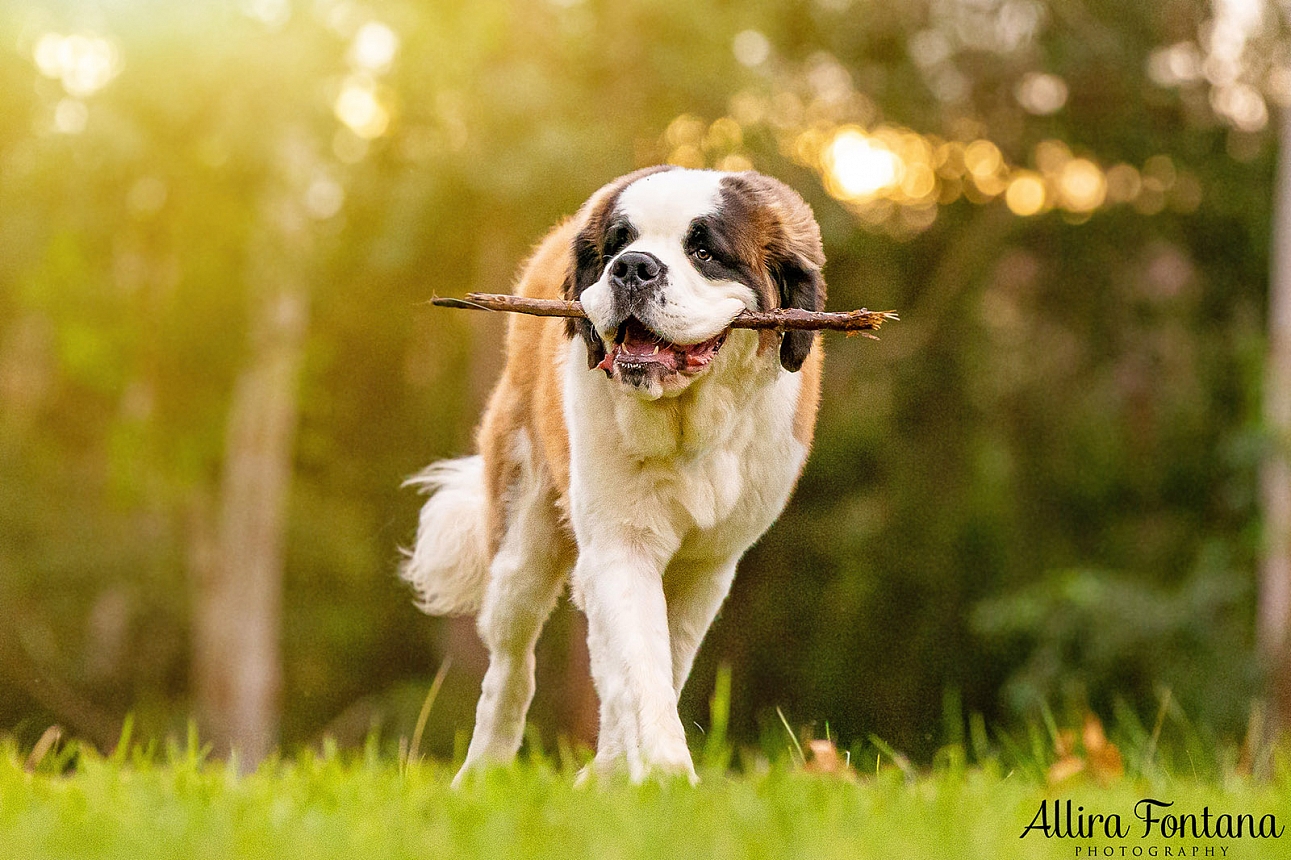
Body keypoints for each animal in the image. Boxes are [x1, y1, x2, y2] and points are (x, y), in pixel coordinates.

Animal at [405, 163, 826, 779]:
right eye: (618, 244)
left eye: (704, 251)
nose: (632, 267)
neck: (686, 423)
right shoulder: (618, 545)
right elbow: (639, 662)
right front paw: (668, 776)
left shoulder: (707, 568)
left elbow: (662, 662)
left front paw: (631, 774)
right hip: (523, 539)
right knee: (511, 662)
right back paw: (484, 771)